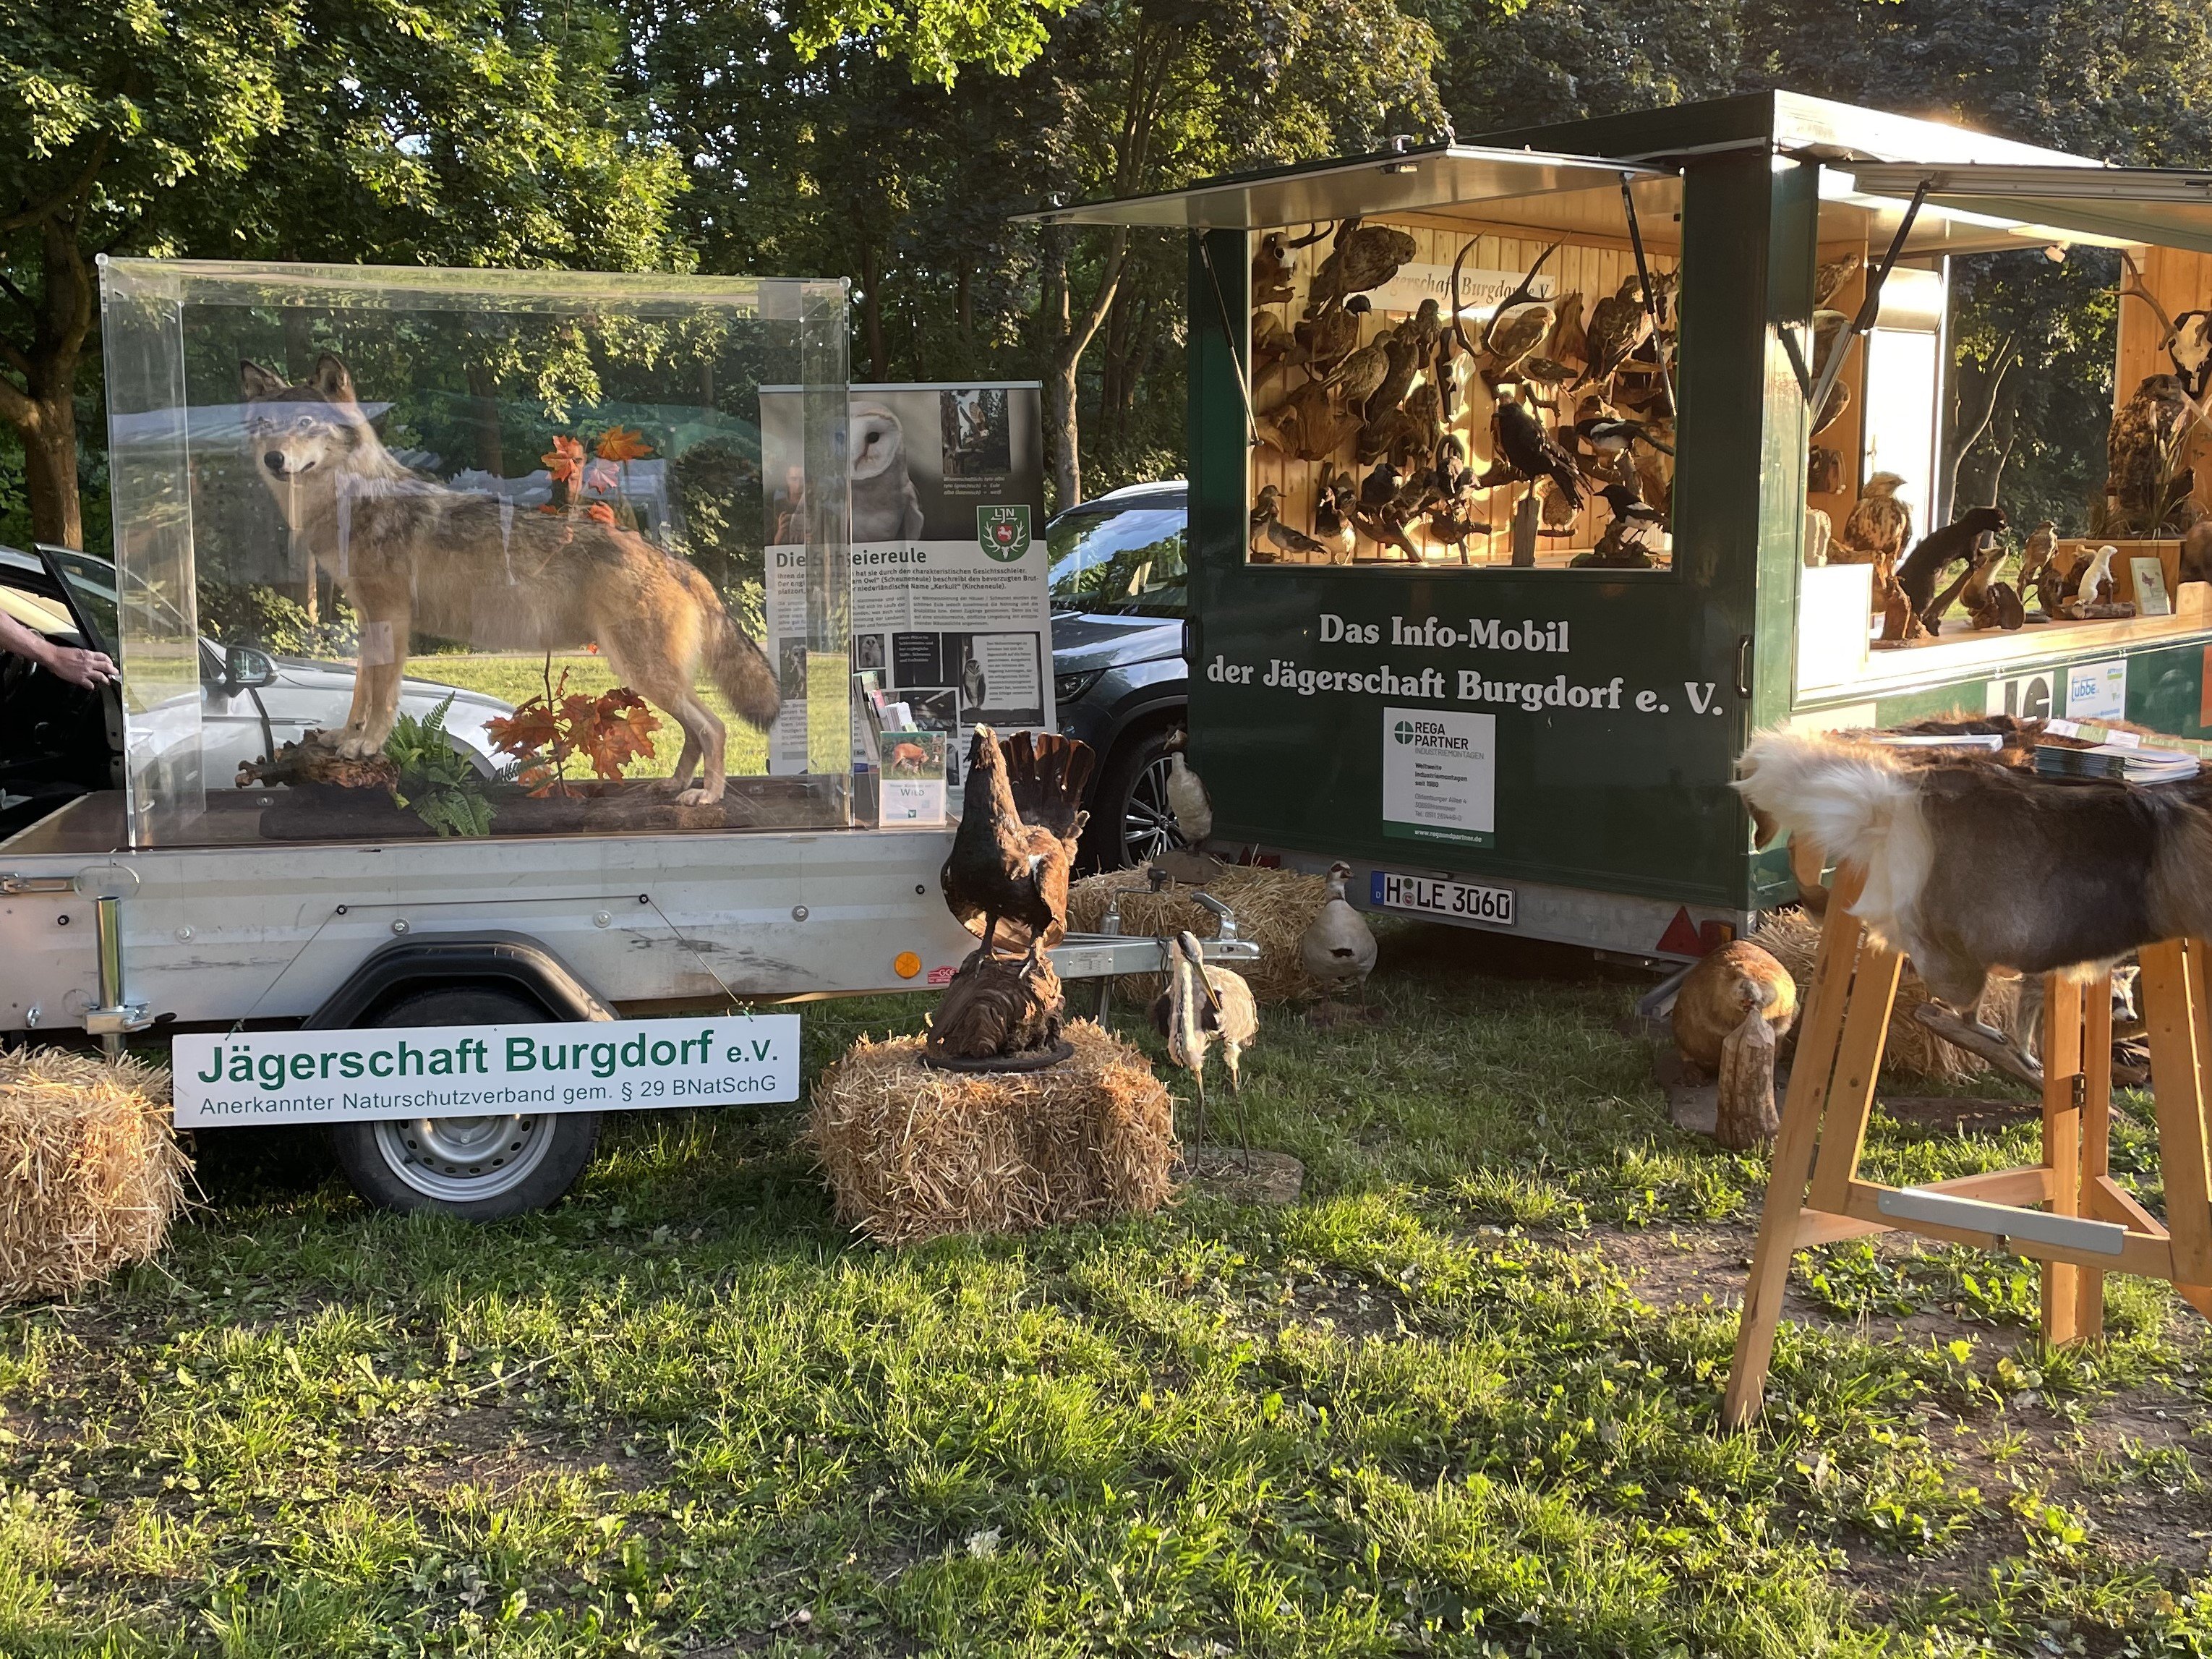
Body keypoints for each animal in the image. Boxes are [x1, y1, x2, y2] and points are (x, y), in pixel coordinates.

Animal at [239, 358, 778, 805]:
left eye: (306, 424)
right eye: (269, 427)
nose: (273, 460)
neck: (350, 503)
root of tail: (680, 564)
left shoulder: (391, 620)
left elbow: (383, 699)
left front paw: (367, 745)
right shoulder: (370, 619)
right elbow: (359, 692)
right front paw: (344, 740)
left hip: (642, 672)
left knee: (715, 728)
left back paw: (706, 797)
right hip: (647, 676)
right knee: (694, 732)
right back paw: (673, 785)